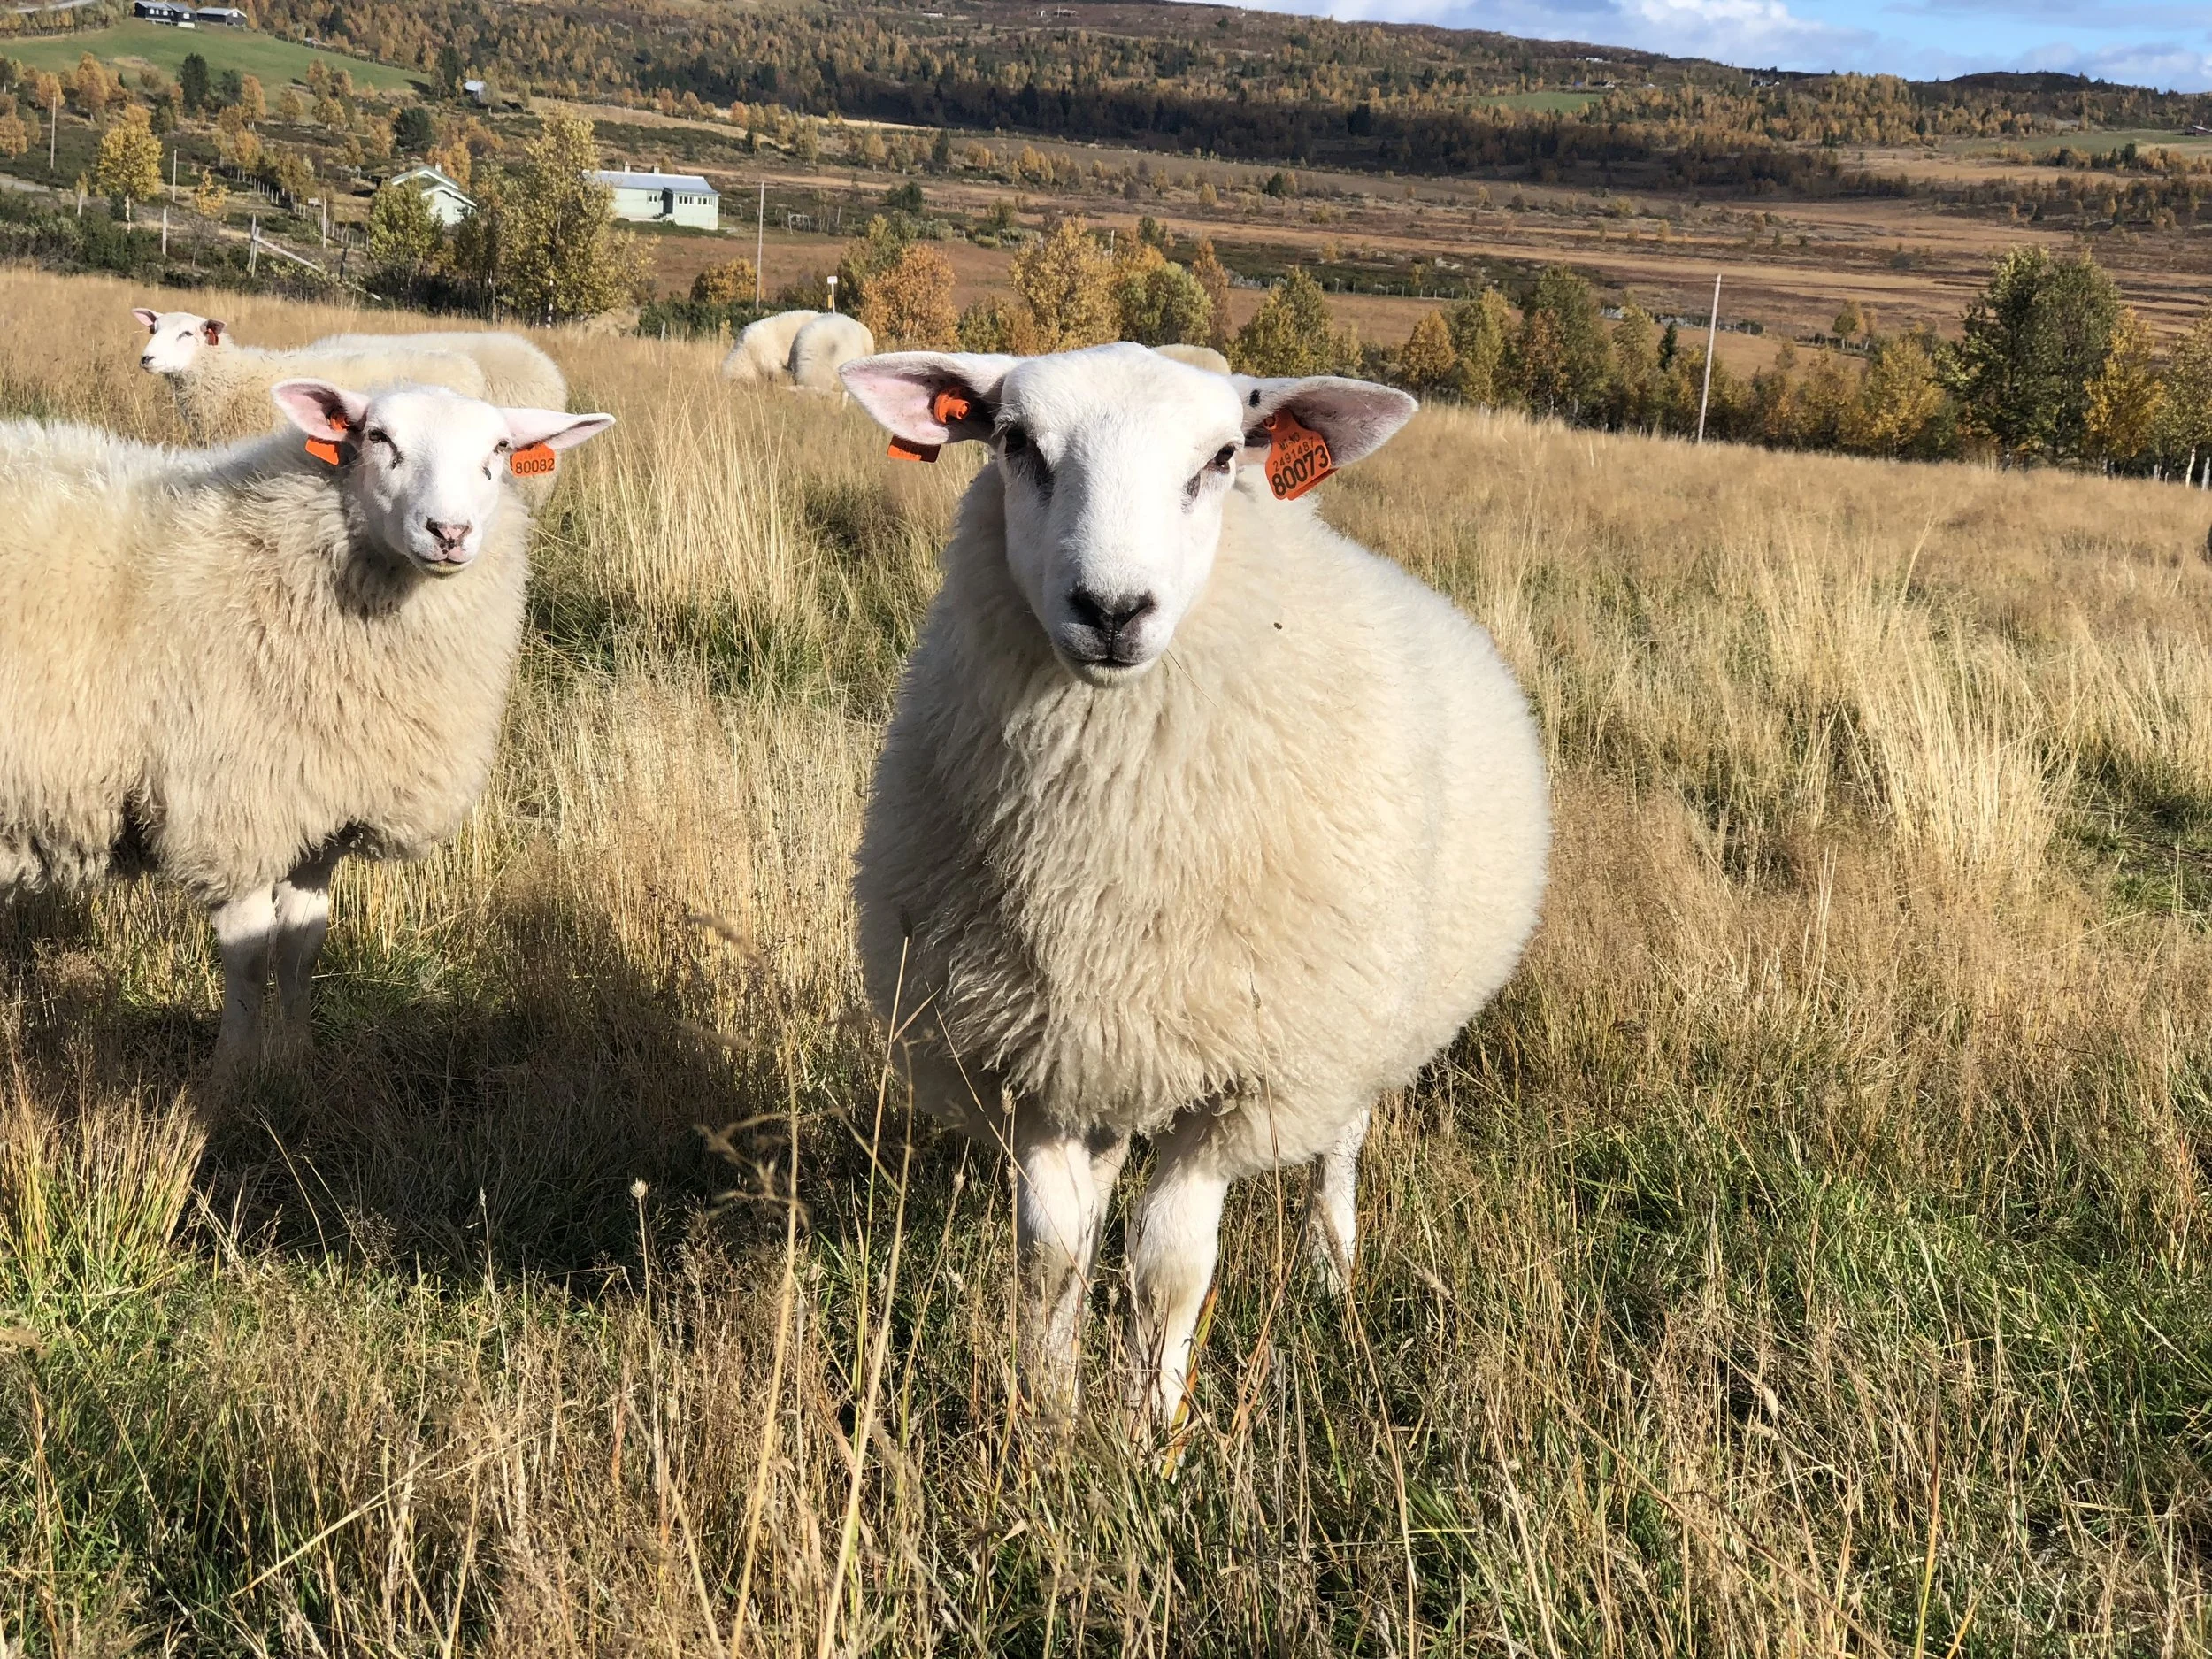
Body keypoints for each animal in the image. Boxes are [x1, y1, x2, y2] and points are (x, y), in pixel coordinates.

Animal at [0, 378, 615, 1071]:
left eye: (501, 449)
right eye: (378, 437)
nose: (449, 531)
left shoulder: (322, 811)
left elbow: (301, 947)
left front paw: (297, 1060)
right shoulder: (236, 808)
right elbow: (247, 954)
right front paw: (235, 1074)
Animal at [839, 343, 1551, 1421]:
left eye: (1221, 459)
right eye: (1013, 441)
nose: (1111, 609)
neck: (1103, 863)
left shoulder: (1244, 1079)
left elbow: (1169, 1268)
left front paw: (1147, 1430)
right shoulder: (1033, 1051)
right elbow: (1052, 1254)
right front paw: (1048, 1420)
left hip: (1353, 1021)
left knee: (1339, 1143)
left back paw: (1330, 1269)